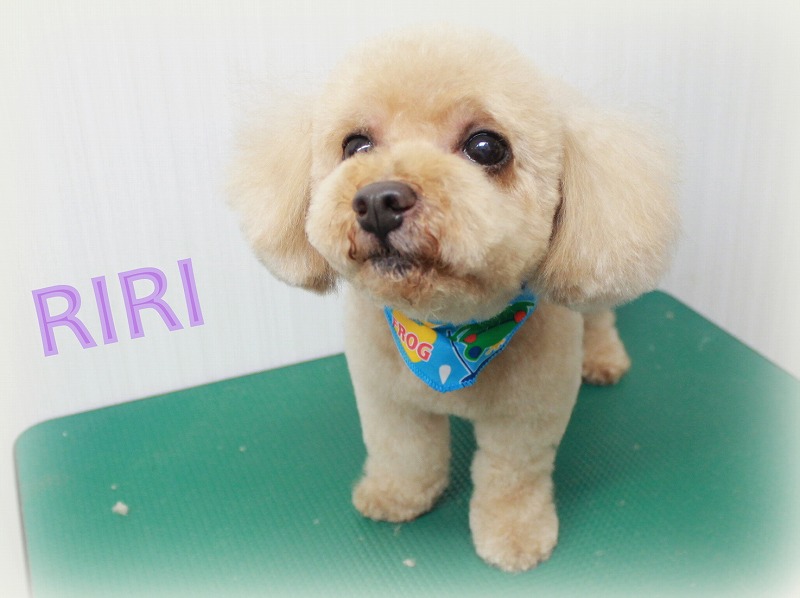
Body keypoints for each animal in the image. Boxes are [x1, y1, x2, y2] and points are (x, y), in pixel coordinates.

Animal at [229, 27, 677, 572]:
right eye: (355, 145)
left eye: (486, 147)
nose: (377, 200)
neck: (448, 333)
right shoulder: (387, 399)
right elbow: (404, 452)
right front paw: (396, 496)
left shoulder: (528, 416)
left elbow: (512, 480)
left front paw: (515, 536)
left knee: (599, 312)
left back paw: (603, 357)